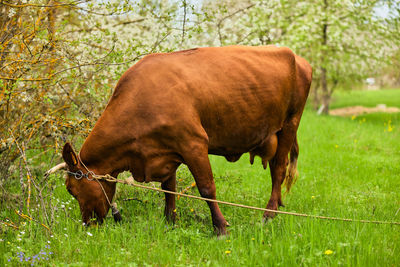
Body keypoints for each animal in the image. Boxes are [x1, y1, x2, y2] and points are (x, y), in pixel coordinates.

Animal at [50, 46, 312, 237]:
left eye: (72, 189)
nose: (88, 225)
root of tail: (297, 57)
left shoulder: (193, 143)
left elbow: (206, 188)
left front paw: (220, 228)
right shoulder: (164, 150)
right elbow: (169, 189)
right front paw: (170, 222)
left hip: (290, 124)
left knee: (278, 170)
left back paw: (269, 214)